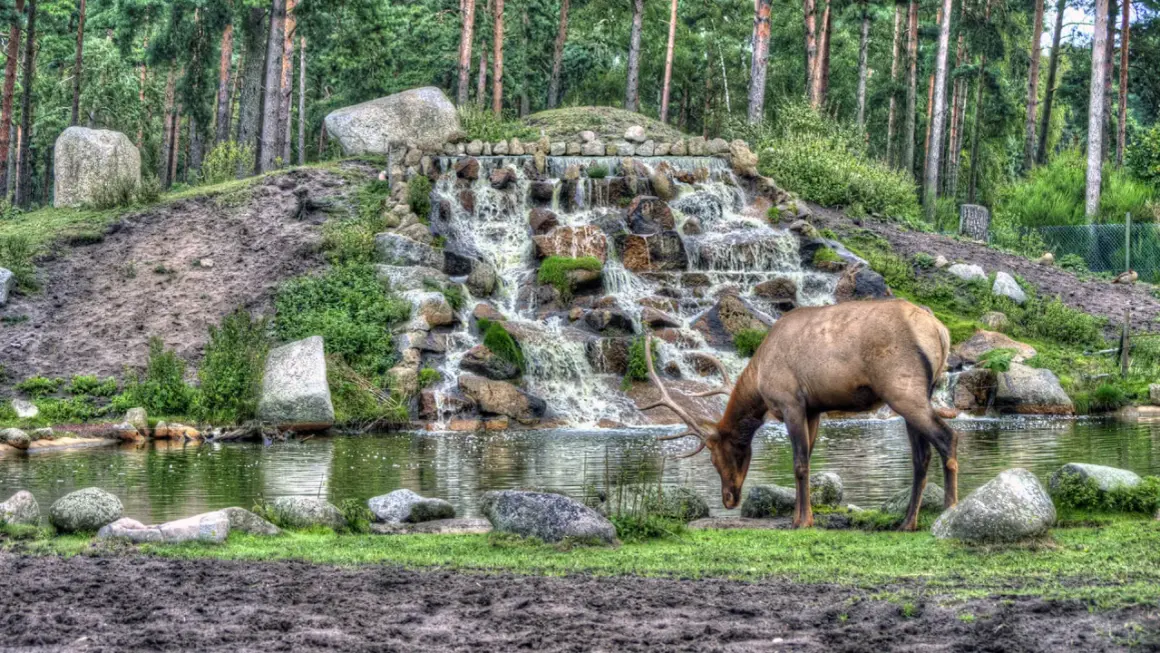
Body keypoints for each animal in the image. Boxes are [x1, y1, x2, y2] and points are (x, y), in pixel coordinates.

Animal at [643, 298, 958, 531]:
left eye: (715, 457)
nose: (729, 499)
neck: (759, 376)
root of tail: (941, 332)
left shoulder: (790, 402)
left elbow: (799, 464)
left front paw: (802, 521)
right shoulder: (813, 409)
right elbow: (807, 459)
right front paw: (802, 516)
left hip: (901, 388)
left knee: (947, 437)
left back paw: (949, 510)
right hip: (917, 393)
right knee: (921, 457)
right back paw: (908, 522)